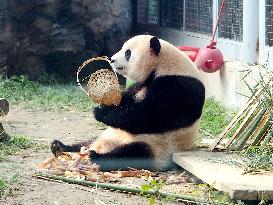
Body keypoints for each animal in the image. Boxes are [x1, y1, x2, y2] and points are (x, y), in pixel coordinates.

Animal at [50, 34, 204, 171]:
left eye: (127, 53)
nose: (112, 59)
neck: (163, 64)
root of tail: (101, 146)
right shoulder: (142, 84)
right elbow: (127, 99)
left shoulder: (178, 87)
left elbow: (146, 117)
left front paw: (100, 111)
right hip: (107, 134)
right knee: (86, 142)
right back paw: (60, 147)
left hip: (157, 146)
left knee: (133, 153)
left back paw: (96, 157)